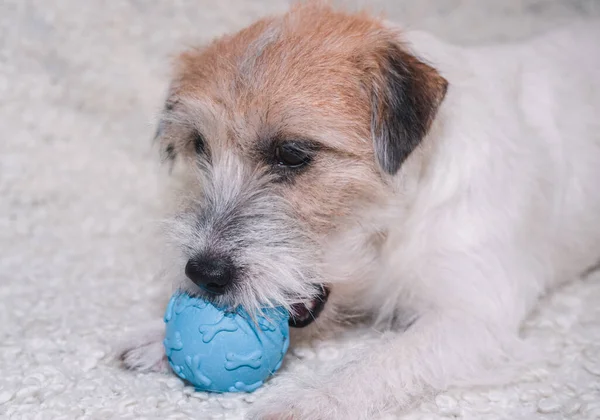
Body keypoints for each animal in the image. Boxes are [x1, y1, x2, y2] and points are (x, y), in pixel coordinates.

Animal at [119, 3, 600, 420]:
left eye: (292, 154)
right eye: (200, 146)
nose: (203, 274)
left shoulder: (472, 318)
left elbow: (380, 365)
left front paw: (307, 403)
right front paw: (156, 336)